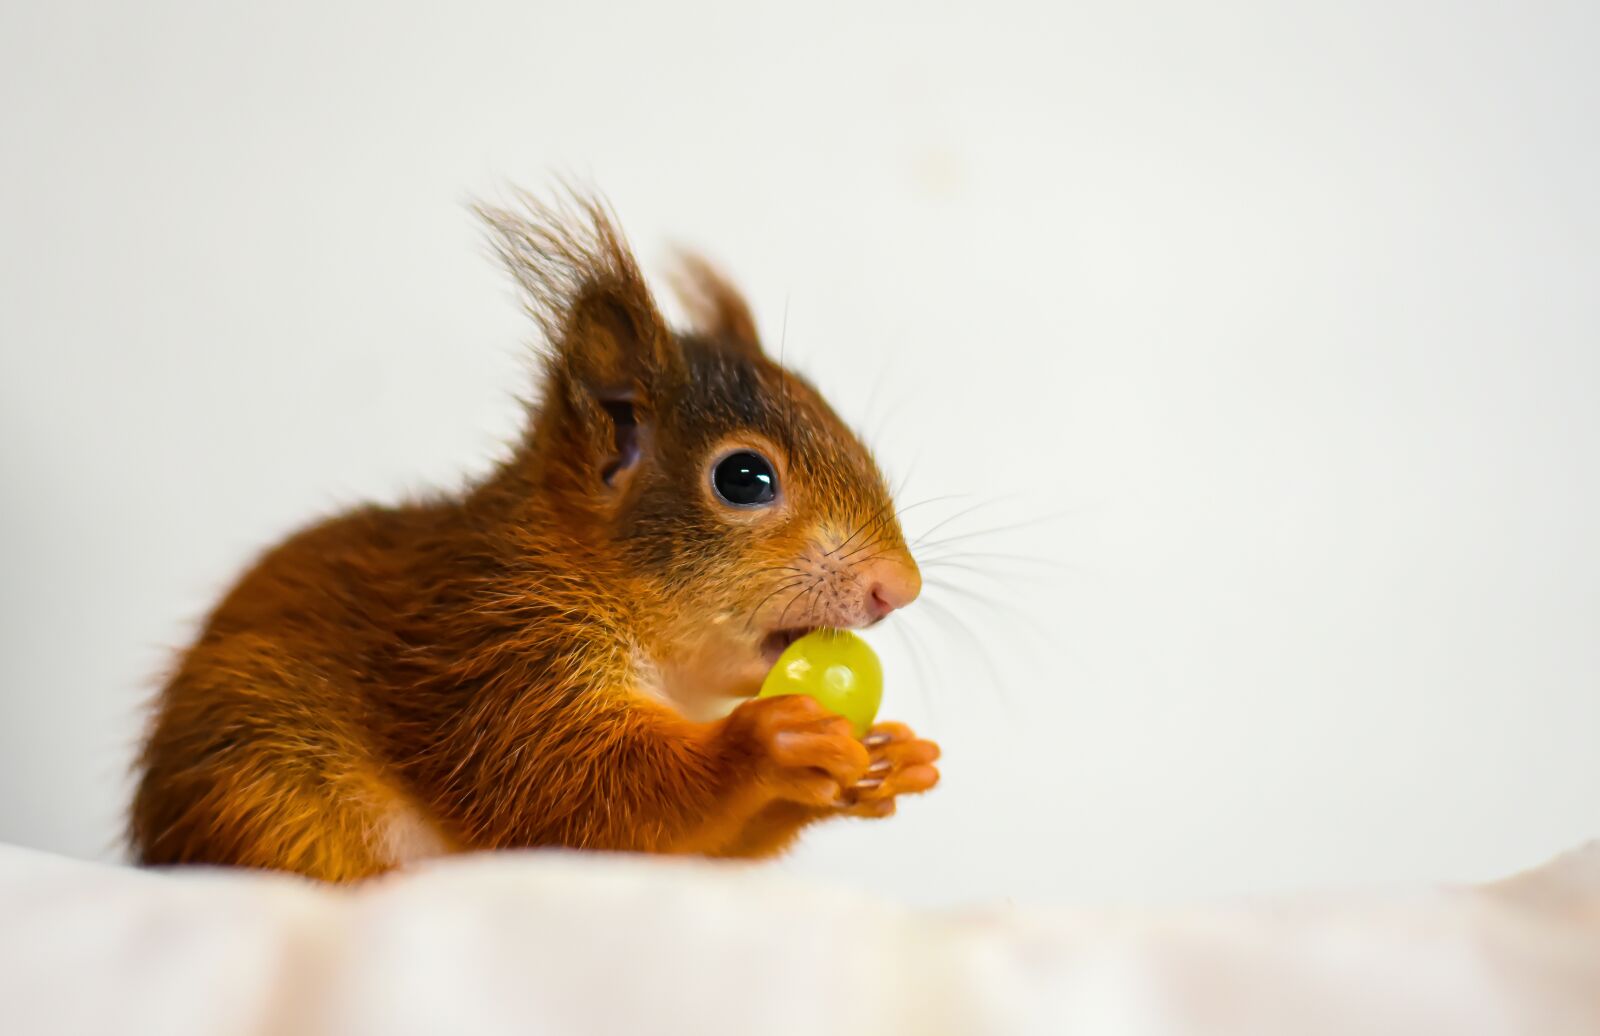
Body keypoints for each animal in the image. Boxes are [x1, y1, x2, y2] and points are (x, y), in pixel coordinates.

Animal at [128, 192, 940, 882]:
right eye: (743, 477)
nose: (899, 586)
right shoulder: (495, 653)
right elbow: (570, 792)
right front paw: (764, 744)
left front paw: (889, 760)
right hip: (257, 789)